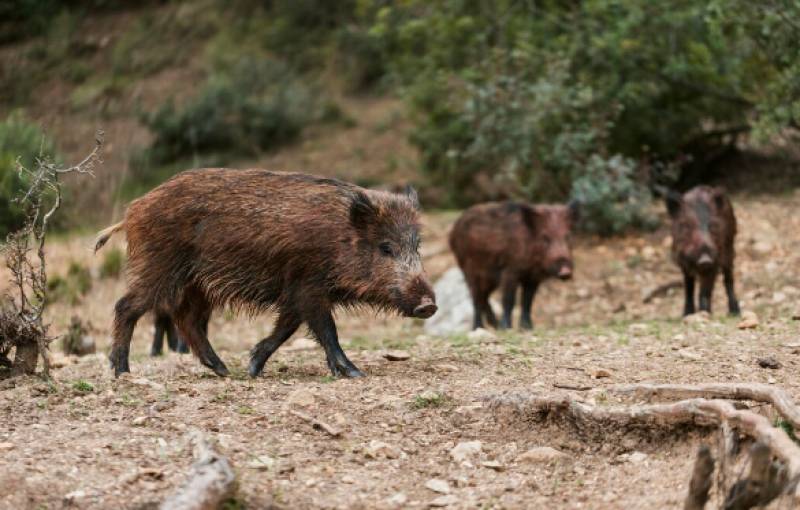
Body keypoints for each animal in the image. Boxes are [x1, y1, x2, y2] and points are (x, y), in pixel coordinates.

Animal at [95, 169, 436, 378]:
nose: (428, 305)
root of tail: (133, 210)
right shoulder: (308, 286)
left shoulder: (296, 293)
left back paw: (224, 371)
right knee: (126, 306)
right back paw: (122, 371)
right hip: (159, 268)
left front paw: (253, 367)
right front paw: (354, 373)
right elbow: (326, 330)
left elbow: (287, 328)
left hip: (198, 285)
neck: (336, 239)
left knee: (188, 320)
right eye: (386, 247)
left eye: (417, 246)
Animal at [450, 201, 578, 330]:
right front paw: (506, 328)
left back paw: (494, 326)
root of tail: (453, 231)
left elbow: (527, 301)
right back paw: (479, 327)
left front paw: (527, 328)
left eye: (567, 236)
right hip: (468, 269)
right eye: (545, 237)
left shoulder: (532, 278)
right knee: (475, 297)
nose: (565, 271)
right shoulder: (510, 271)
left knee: (484, 296)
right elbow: (509, 300)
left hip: (490, 279)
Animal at [665, 185, 740, 316]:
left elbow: (705, 290)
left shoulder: (714, 262)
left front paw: (704, 313)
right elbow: (689, 288)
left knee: (728, 279)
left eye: (713, 226)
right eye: (687, 226)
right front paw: (687, 314)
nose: (705, 259)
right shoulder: (683, 264)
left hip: (730, 247)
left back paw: (734, 312)